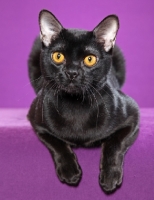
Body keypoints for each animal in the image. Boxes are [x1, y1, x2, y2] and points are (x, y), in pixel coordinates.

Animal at [27, 10, 140, 193]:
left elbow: (115, 143)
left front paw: (110, 176)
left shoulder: (133, 115)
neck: (75, 106)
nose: (72, 72)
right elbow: (56, 143)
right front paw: (69, 171)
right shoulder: (36, 121)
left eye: (90, 59)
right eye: (58, 56)